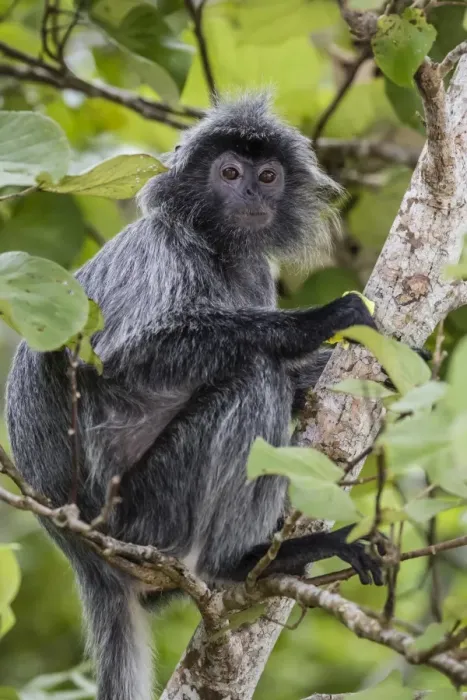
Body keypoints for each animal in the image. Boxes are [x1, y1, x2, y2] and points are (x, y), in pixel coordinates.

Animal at [6, 93, 383, 700]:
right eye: (229, 173)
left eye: (268, 176)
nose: (251, 194)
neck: (215, 248)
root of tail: (85, 555)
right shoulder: (161, 248)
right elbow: (127, 355)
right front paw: (322, 320)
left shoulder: (254, 271)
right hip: (145, 517)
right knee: (254, 374)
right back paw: (241, 562)